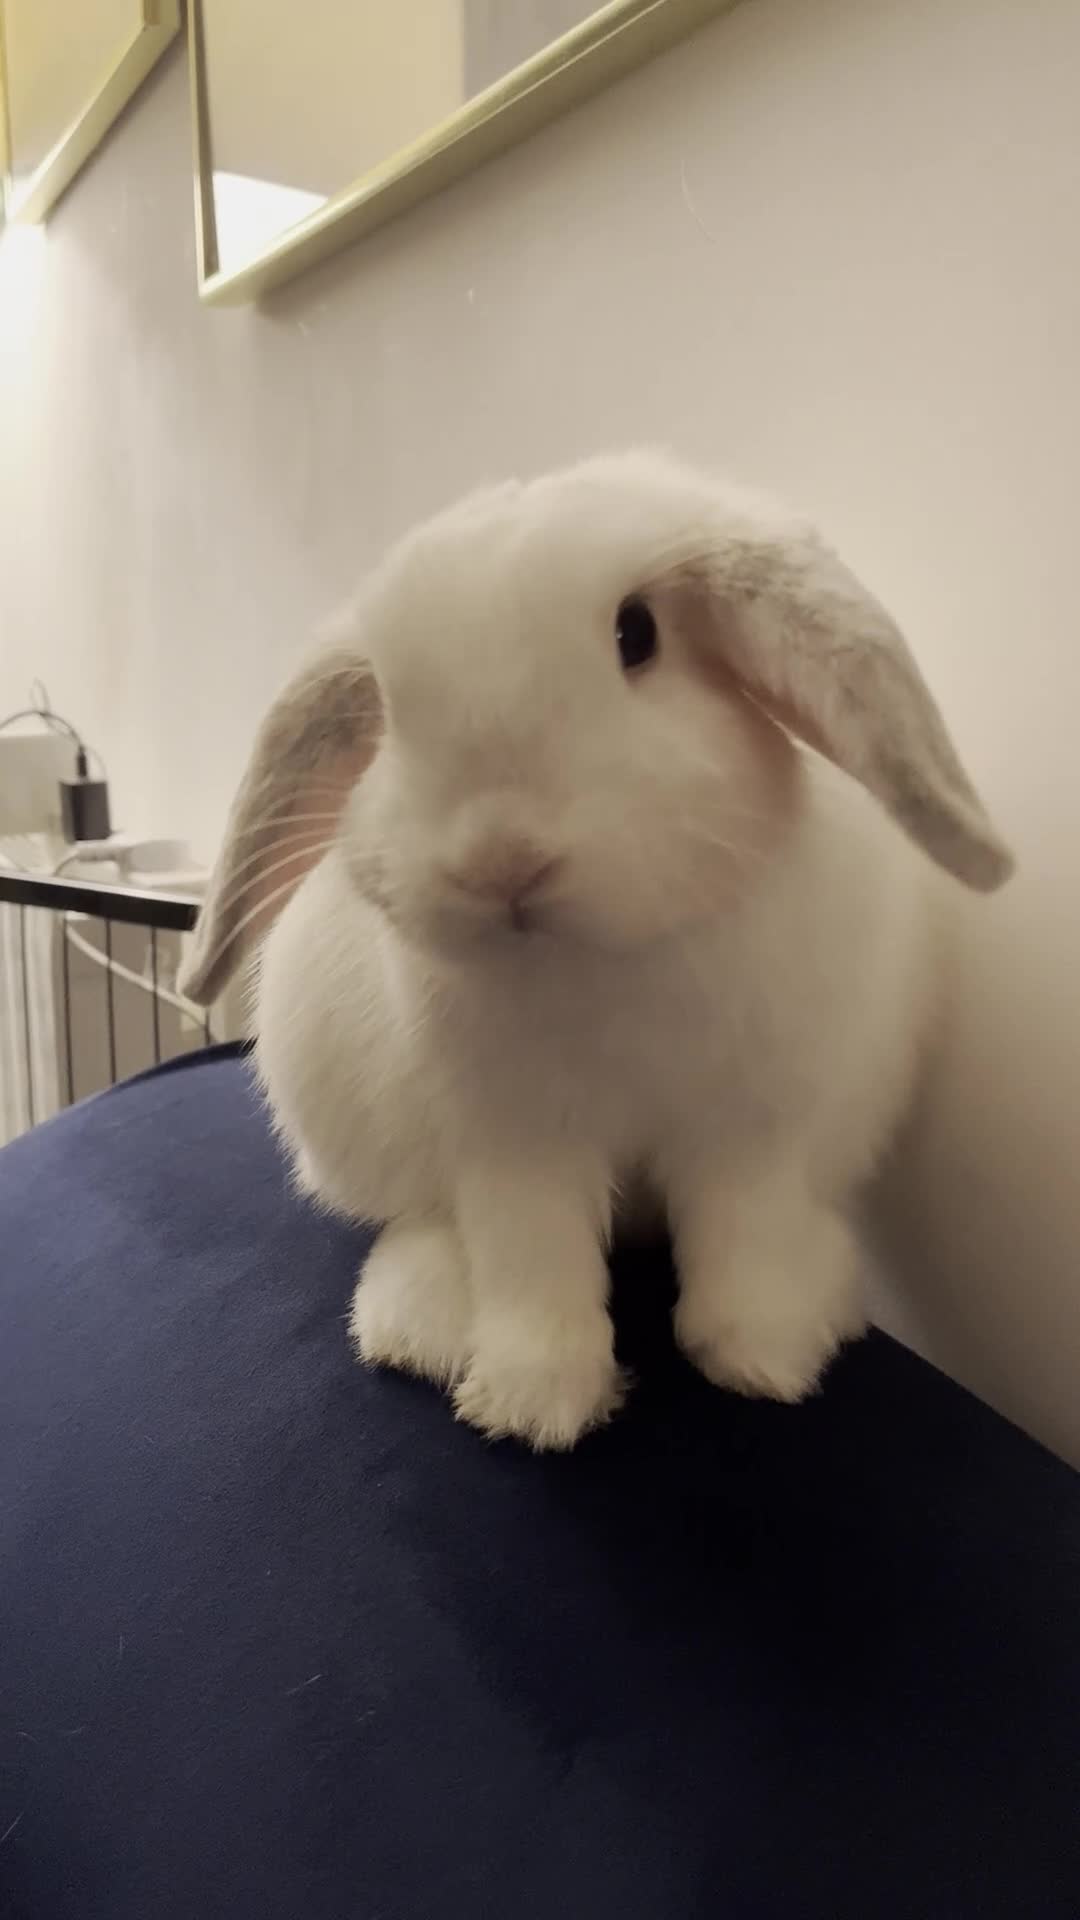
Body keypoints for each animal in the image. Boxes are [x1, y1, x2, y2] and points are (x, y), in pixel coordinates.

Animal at [179, 451, 1013, 1451]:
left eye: (636, 633)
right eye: (383, 698)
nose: (499, 859)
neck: (600, 956)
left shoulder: (752, 1127)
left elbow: (745, 1237)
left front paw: (764, 1361)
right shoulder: (514, 1142)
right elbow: (534, 1262)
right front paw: (535, 1406)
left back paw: (828, 1297)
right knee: (428, 1228)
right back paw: (420, 1324)